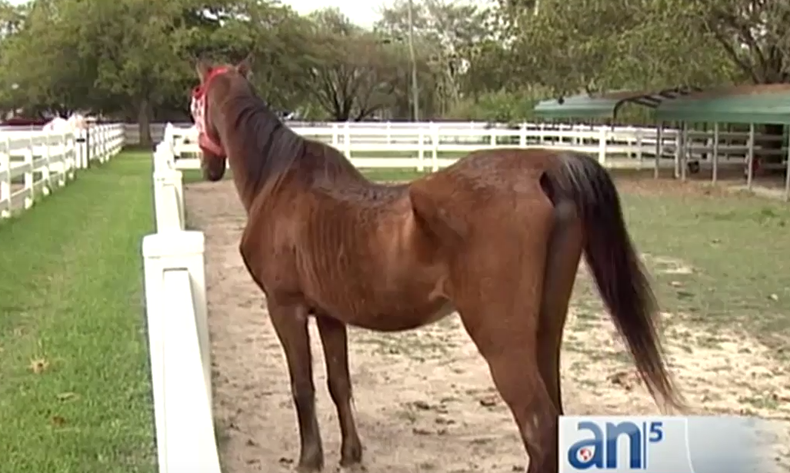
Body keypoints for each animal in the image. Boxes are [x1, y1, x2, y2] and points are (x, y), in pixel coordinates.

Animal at [188, 58, 683, 473]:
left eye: (195, 99)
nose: (209, 165)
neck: (280, 183)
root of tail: (545, 168)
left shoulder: (285, 308)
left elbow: (302, 387)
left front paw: (310, 461)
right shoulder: (329, 315)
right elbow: (338, 383)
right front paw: (350, 454)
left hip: (501, 342)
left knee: (539, 427)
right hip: (543, 332)